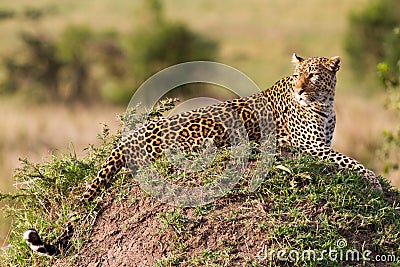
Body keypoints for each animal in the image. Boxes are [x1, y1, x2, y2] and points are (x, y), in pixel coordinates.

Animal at [23, 54, 382, 258]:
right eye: (297, 76)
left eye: (314, 75)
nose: (300, 89)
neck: (325, 103)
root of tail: (131, 136)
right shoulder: (311, 146)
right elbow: (352, 162)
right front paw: (376, 183)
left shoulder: (320, 143)